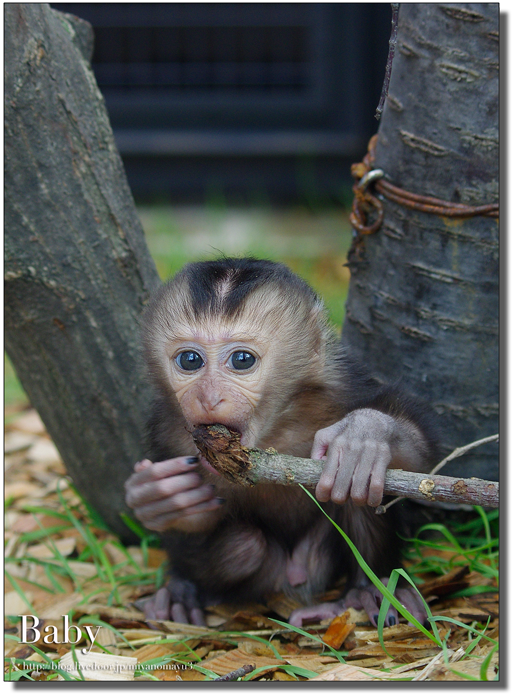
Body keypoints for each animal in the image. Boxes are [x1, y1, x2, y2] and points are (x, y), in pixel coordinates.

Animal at [124, 258, 436, 628]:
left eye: (242, 360)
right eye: (190, 360)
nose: (209, 398)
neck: (272, 432)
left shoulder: (342, 387)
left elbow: (420, 460)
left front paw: (365, 436)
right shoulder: (165, 430)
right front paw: (158, 498)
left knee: (356, 494)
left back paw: (364, 591)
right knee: (244, 547)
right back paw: (182, 593)